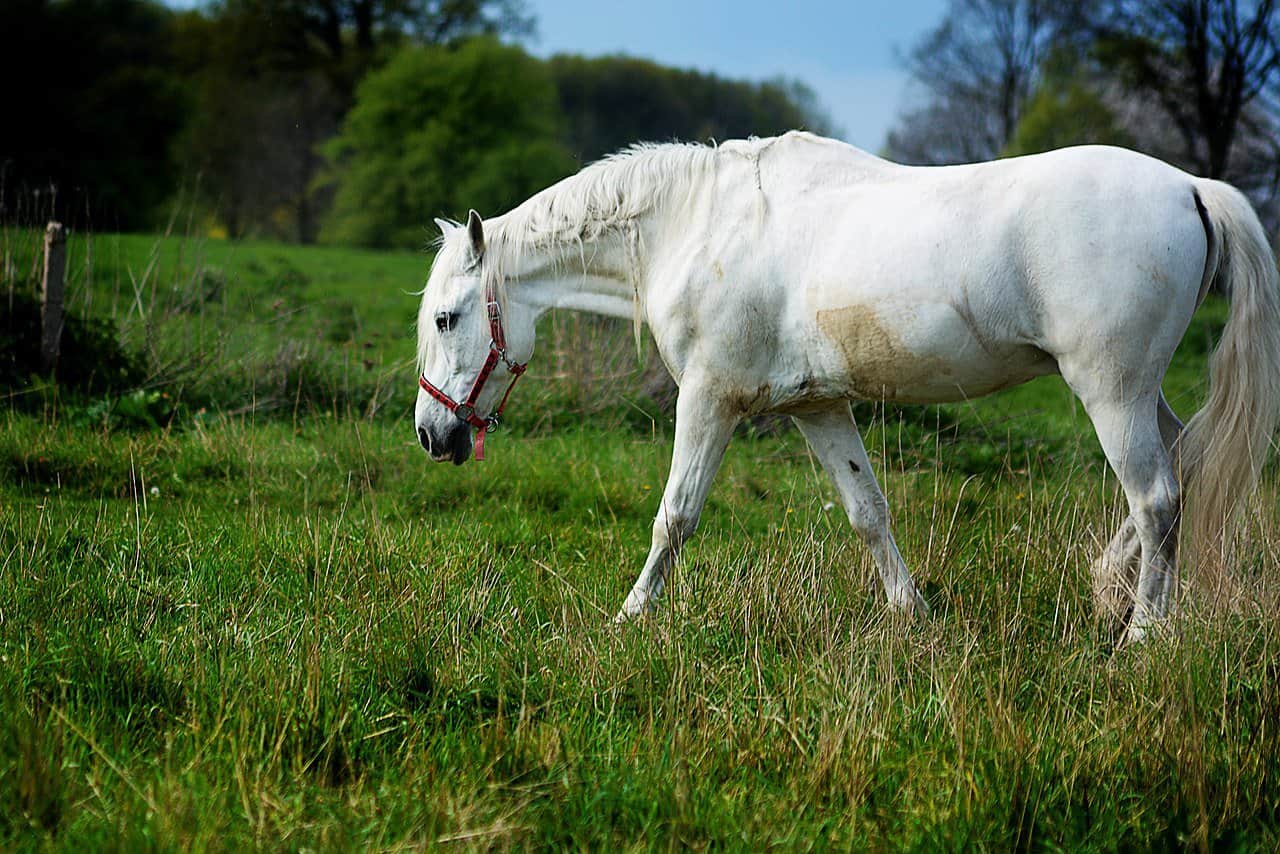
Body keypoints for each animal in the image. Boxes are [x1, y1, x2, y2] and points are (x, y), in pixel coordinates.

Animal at [414, 131, 1274, 640]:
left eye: (449, 319)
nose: (433, 433)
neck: (697, 224)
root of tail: (1190, 186)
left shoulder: (710, 398)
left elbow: (675, 517)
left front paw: (629, 618)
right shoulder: (820, 408)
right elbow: (868, 512)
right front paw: (912, 615)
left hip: (1111, 392)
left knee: (1157, 497)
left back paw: (1142, 636)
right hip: (1138, 394)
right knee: (1186, 461)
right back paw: (1107, 589)